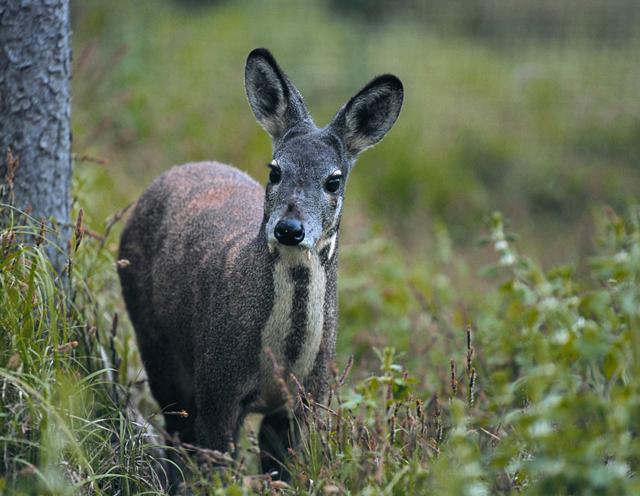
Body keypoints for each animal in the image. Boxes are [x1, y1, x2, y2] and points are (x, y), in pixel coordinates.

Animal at [117, 47, 402, 480]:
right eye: (275, 170)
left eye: (333, 180)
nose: (289, 228)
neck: (281, 361)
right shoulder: (218, 385)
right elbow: (216, 466)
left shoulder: (306, 401)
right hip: (155, 341)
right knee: (175, 429)